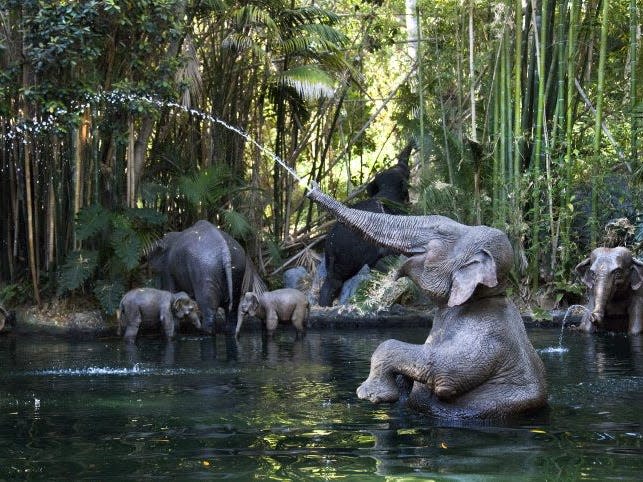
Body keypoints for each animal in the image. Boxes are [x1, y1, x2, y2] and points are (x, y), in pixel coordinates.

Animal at [306, 186, 548, 420]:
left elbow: (444, 374)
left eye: (440, 232)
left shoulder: (487, 335)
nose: (311, 189)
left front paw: (371, 395)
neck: (486, 295)